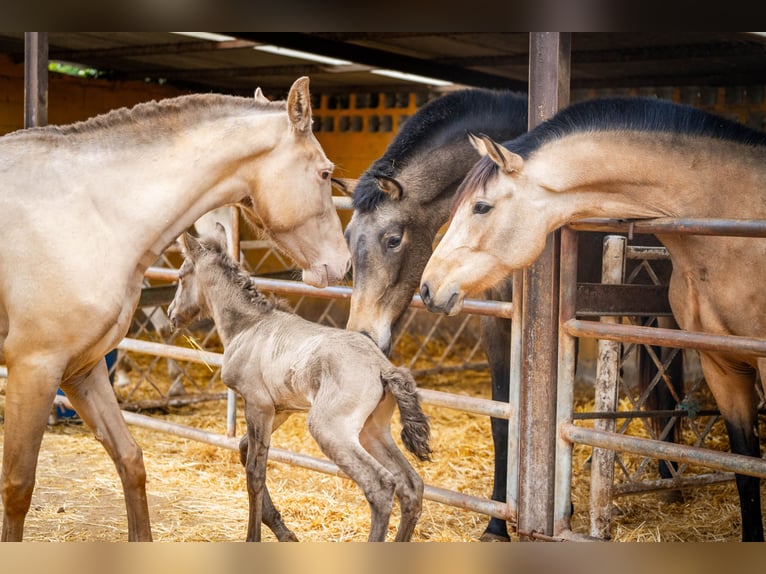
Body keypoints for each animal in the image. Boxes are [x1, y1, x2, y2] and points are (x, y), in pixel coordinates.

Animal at [0, 77, 352, 544]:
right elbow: (18, 485)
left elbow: (130, 459)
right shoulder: (34, 367)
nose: (343, 263)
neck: (89, 214)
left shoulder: (82, 369)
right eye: (326, 172)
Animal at [169, 226, 432, 544]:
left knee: (381, 487)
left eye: (180, 276)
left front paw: (254, 537)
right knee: (411, 485)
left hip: (330, 429)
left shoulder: (257, 404)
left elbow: (255, 473)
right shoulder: (280, 408)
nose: (171, 314)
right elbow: (245, 449)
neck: (248, 325)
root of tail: (384, 369)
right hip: (372, 430)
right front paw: (282, 530)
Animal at [340, 88, 532, 544]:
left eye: (393, 239)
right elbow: (502, 420)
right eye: (348, 237)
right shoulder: (494, 320)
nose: (363, 336)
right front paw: (496, 525)